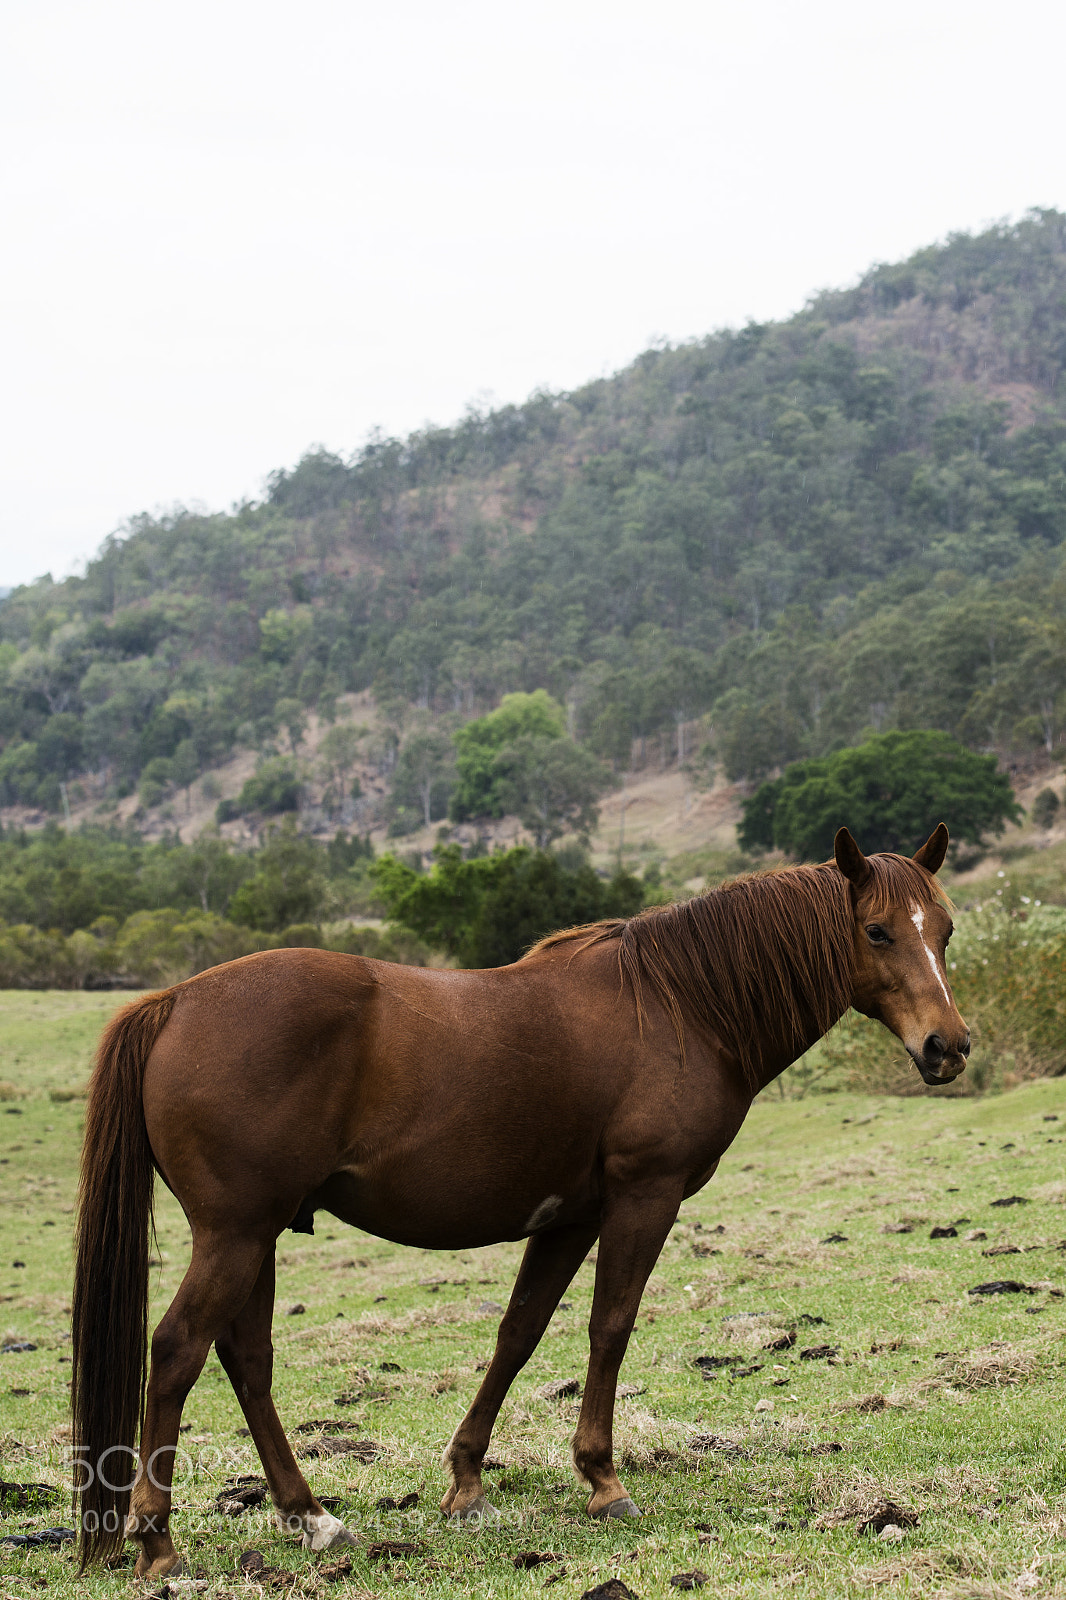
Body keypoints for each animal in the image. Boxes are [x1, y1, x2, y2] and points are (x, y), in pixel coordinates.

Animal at [71, 824, 968, 1577]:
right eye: (878, 931)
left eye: (945, 931)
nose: (948, 1047)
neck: (681, 1003)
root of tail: (173, 1002)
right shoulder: (643, 1198)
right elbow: (610, 1328)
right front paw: (604, 1481)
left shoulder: (569, 1218)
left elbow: (519, 1334)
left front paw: (468, 1482)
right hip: (235, 1234)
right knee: (178, 1352)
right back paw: (157, 1541)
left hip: (256, 1236)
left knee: (246, 1360)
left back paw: (310, 1516)